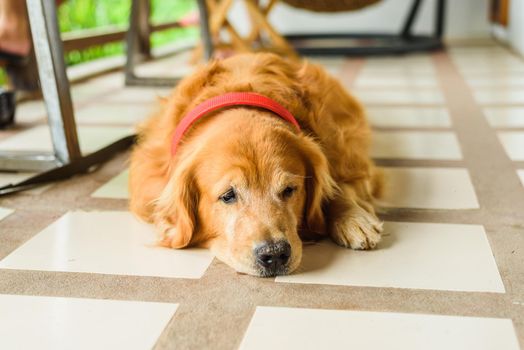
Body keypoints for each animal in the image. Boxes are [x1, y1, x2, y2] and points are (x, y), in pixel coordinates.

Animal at [130, 52, 384, 276]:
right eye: (228, 195)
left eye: (289, 190)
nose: (275, 254)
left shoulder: (345, 152)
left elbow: (340, 185)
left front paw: (352, 217)